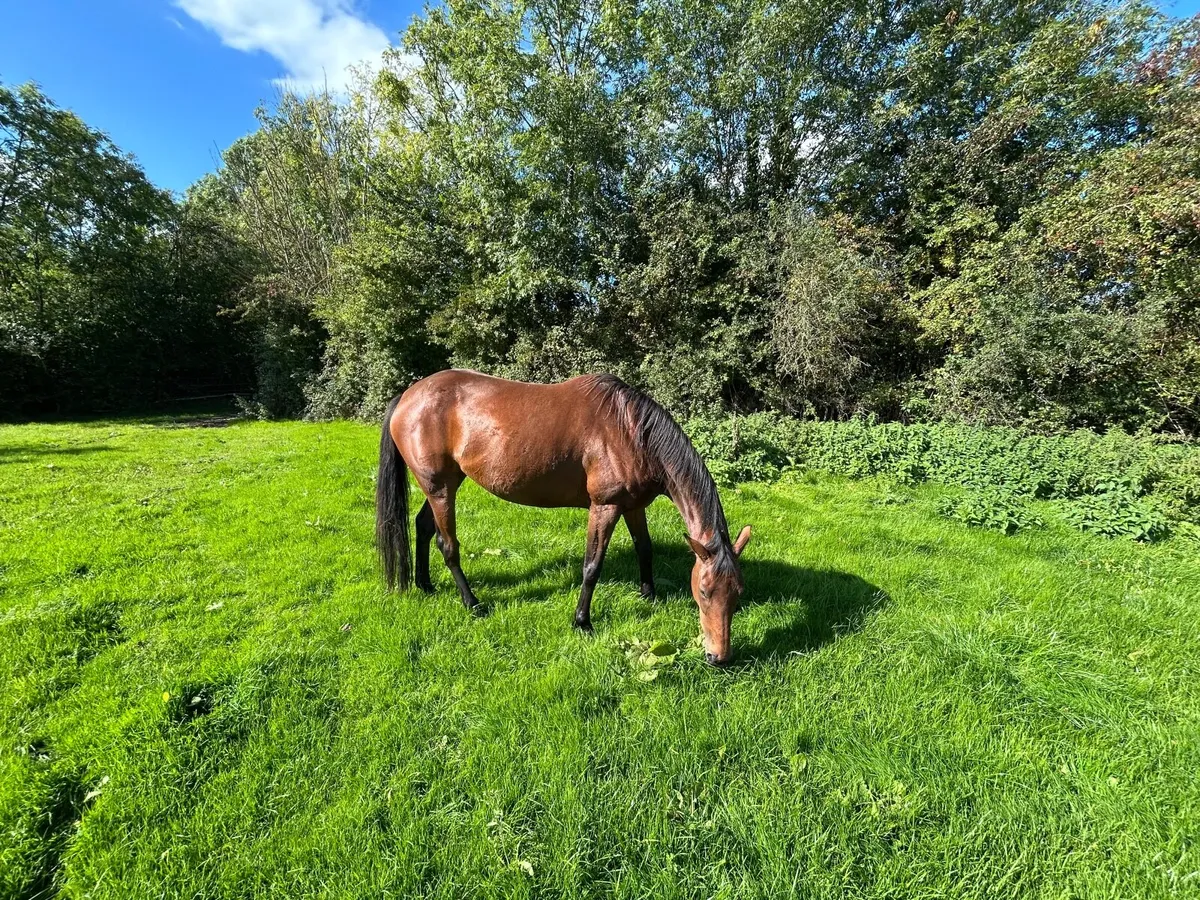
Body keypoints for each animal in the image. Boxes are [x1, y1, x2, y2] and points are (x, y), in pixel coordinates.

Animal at [375, 370, 751, 666]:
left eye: (737, 592)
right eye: (704, 592)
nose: (719, 657)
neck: (630, 430)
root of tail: (408, 395)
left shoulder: (632, 506)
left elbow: (644, 549)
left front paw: (649, 594)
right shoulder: (605, 506)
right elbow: (592, 566)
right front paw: (582, 622)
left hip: (445, 484)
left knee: (424, 527)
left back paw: (425, 584)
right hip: (439, 487)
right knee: (447, 543)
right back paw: (472, 603)